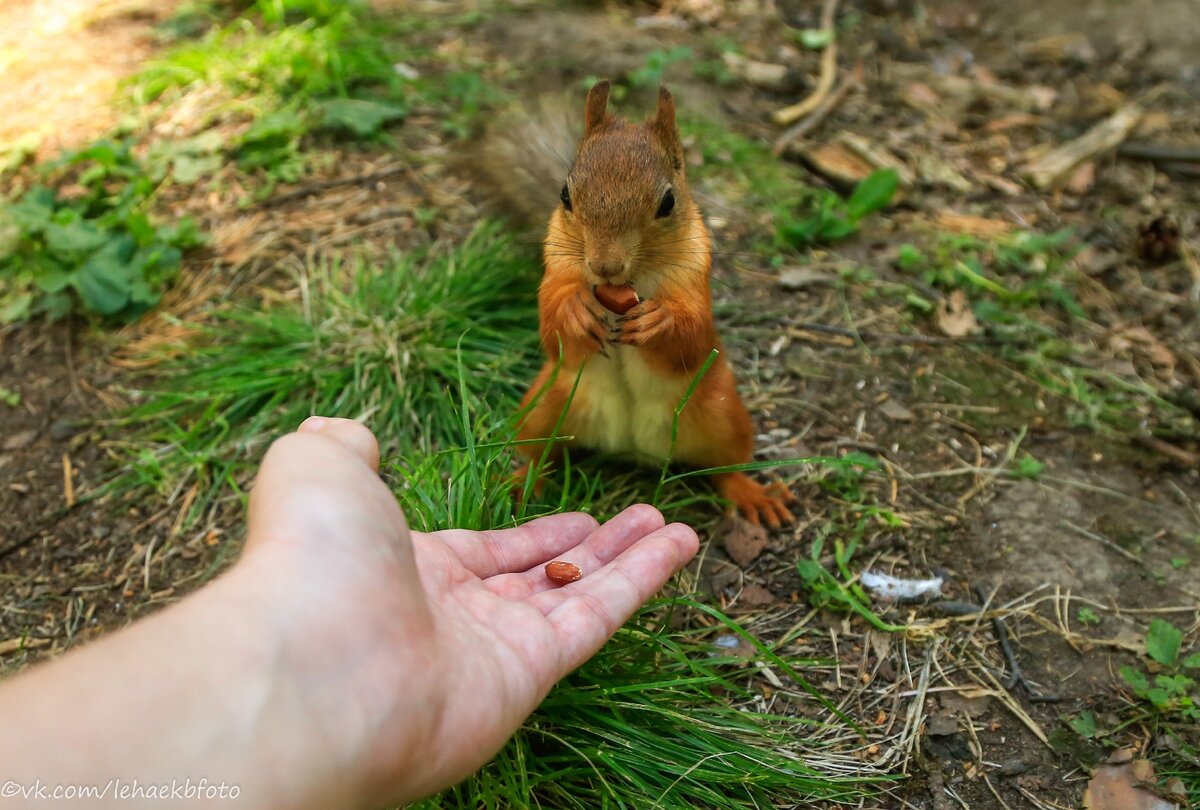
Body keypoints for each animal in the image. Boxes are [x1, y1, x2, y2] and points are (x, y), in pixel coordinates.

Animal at [499, 81, 796, 525]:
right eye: (565, 195)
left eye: (668, 203)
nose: (605, 266)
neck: (628, 283)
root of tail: (631, 448)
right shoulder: (556, 270)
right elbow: (552, 327)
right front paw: (576, 311)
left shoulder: (694, 279)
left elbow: (691, 337)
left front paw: (659, 321)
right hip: (545, 406)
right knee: (540, 454)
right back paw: (521, 481)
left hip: (723, 417)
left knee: (726, 468)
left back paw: (754, 495)